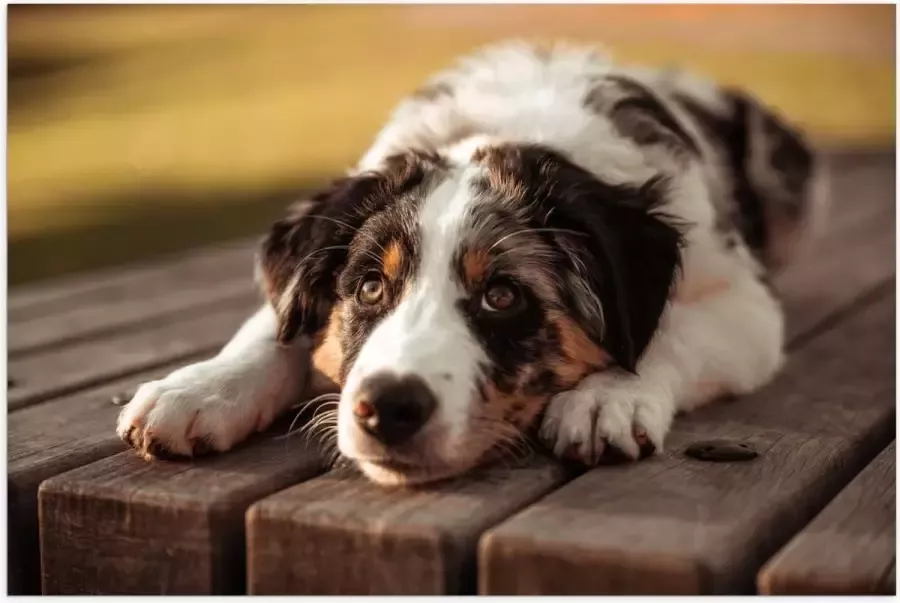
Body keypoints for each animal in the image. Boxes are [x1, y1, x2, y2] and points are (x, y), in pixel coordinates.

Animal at [116, 41, 828, 486]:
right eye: (369, 288)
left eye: (503, 296)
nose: (386, 409)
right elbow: (273, 325)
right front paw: (198, 390)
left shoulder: (745, 304)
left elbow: (668, 331)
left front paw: (609, 397)